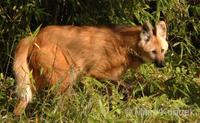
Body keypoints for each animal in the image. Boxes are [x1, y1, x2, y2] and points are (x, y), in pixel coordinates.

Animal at [13, 20, 168, 115]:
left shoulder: (110, 77)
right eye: (154, 52)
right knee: (59, 105)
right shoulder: (95, 72)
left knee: (23, 102)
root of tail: (33, 37)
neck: (126, 46)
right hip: (66, 78)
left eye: (163, 50)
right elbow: (127, 86)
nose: (162, 64)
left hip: (36, 79)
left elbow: (111, 98)